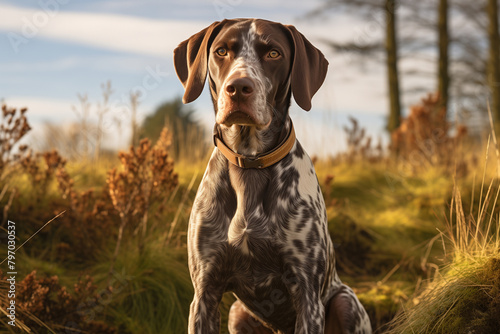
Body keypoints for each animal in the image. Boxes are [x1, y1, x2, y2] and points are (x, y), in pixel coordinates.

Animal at [172, 18, 372, 334]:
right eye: (221, 51)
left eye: (274, 53)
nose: (238, 87)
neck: (250, 165)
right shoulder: (204, 293)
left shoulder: (307, 295)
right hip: (237, 313)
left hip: (346, 301)